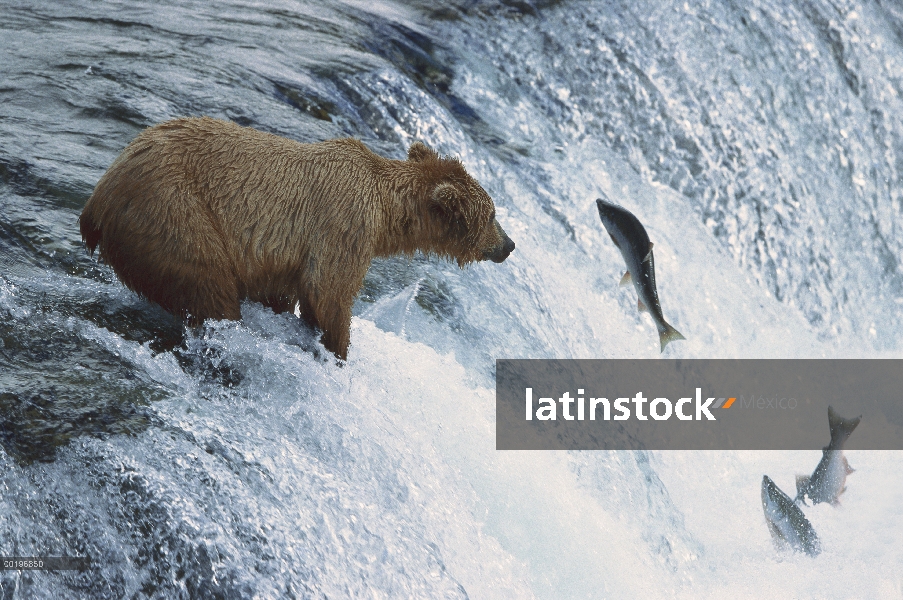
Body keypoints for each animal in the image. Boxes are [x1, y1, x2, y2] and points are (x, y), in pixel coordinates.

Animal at [82, 118, 516, 360]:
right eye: (493, 215)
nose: (509, 245)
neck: (386, 213)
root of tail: (98, 199)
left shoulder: (280, 258)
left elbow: (283, 291)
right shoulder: (345, 224)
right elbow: (328, 292)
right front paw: (338, 349)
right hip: (173, 211)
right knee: (208, 282)